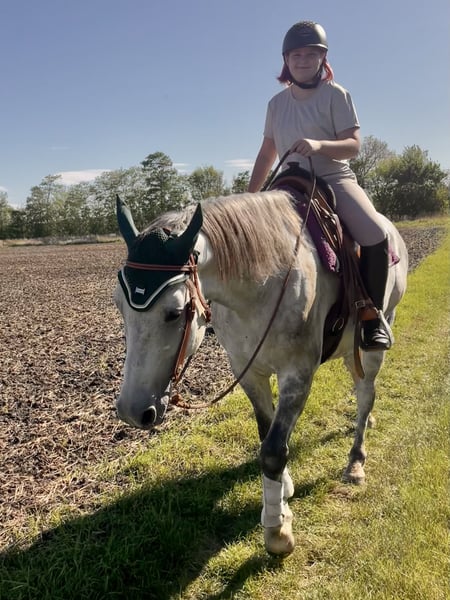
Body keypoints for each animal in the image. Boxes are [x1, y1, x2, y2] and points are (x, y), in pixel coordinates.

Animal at [113, 189, 408, 556]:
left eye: (174, 312)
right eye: (119, 306)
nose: (131, 411)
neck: (262, 279)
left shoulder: (297, 373)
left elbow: (272, 451)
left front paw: (277, 531)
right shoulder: (249, 372)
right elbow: (265, 433)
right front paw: (283, 493)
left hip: (376, 340)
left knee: (366, 393)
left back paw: (355, 462)